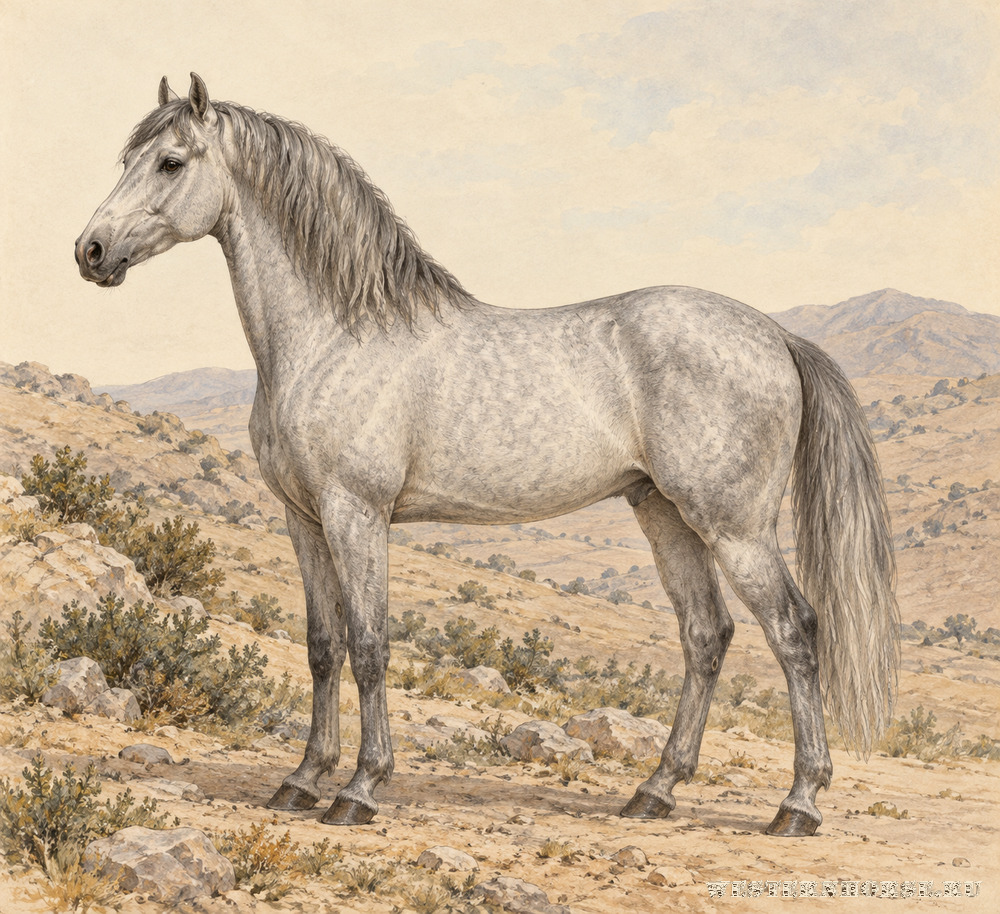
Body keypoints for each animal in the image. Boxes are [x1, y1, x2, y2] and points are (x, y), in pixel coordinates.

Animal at [76, 73, 898, 837]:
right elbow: (322, 646)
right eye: (127, 158)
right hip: (663, 511)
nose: (90, 252)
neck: (334, 335)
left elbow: (369, 644)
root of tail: (773, 333)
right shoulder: (303, 520)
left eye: (171, 162)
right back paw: (654, 791)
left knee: (794, 630)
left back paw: (798, 803)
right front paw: (302, 779)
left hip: (734, 526)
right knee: (706, 635)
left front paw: (359, 789)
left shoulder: (356, 514)